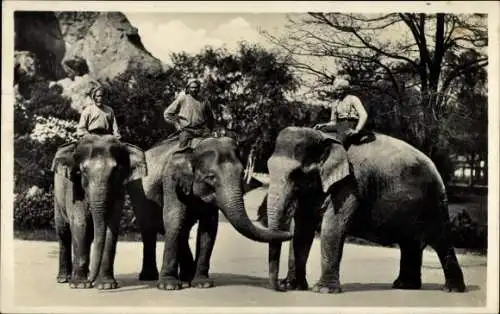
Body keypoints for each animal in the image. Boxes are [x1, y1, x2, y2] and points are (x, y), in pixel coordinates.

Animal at [52, 134, 147, 290]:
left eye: (115, 171)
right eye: (83, 171)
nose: (91, 282)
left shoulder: (119, 190)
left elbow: (111, 228)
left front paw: (107, 285)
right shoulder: (74, 189)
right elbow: (80, 224)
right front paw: (79, 285)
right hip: (57, 197)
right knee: (63, 232)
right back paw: (64, 279)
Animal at [125, 136, 294, 290]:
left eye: (241, 174)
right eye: (211, 177)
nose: (290, 233)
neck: (193, 149)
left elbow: (209, 227)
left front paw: (202, 283)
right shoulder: (171, 180)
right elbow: (174, 219)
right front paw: (169, 286)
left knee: (183, 231)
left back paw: (187, 277)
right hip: (139, 195)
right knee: (149, 230)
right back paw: (150, 277)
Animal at [264, 126, 466, 294]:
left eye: (297, 174)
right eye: (268, 168)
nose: (279, 288)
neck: (326, 139)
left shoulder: (350, 185)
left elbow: (332, 228)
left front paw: (322, 291)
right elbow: (301, 231)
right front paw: (292, 286)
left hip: (434, 202)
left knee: (441, 240)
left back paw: (452, 290)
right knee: (411, 243)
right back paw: (405, 286)